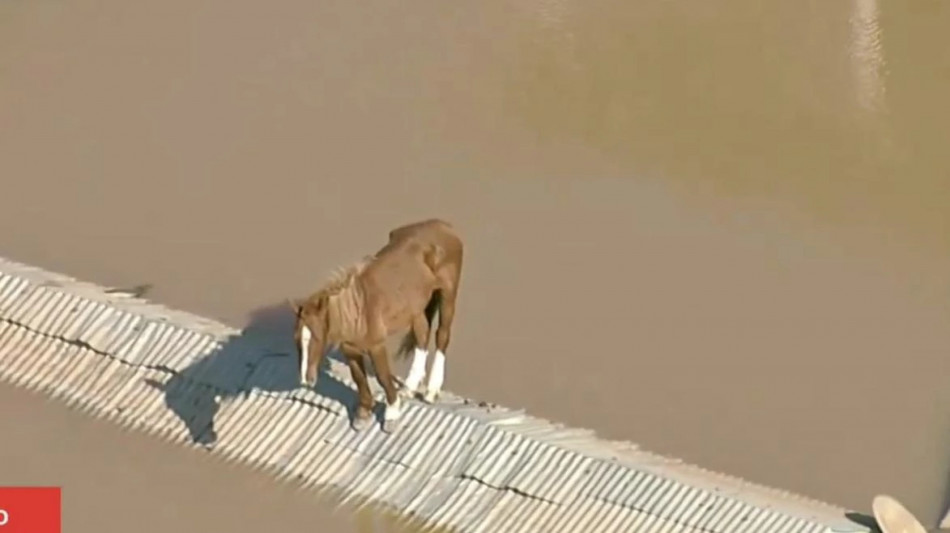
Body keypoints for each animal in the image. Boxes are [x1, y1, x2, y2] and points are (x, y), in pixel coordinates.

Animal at [289, 219, 463, 433]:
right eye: (296, 340)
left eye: (317, 337)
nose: (306, 380)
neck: (358, 309)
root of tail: (444, 225)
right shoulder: (350, 349)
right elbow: (359, 378)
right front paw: (363, 414)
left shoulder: (376, 346)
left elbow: (382, 377)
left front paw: (392, 414)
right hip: (416, 308)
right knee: (422, 335)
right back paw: (409, 387)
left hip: (448, 293)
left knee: (442, 335)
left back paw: (431, 391)